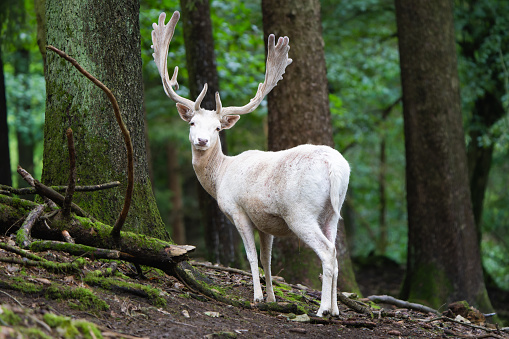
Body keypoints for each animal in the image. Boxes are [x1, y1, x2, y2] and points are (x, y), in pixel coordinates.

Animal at [151, 11, 350, 318]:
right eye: (193, 122)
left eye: (218, 128)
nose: (202, 140)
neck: (220, 177)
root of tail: (336, 168)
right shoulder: (265, 221)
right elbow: (267, 258)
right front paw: (272, 298)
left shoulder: (237, 209)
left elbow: (251, 255)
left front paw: (256, 297)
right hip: (331, 211)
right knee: (336, 252)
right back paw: (338, 310)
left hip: (300, 212)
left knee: (327, 252)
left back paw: (322, 311)